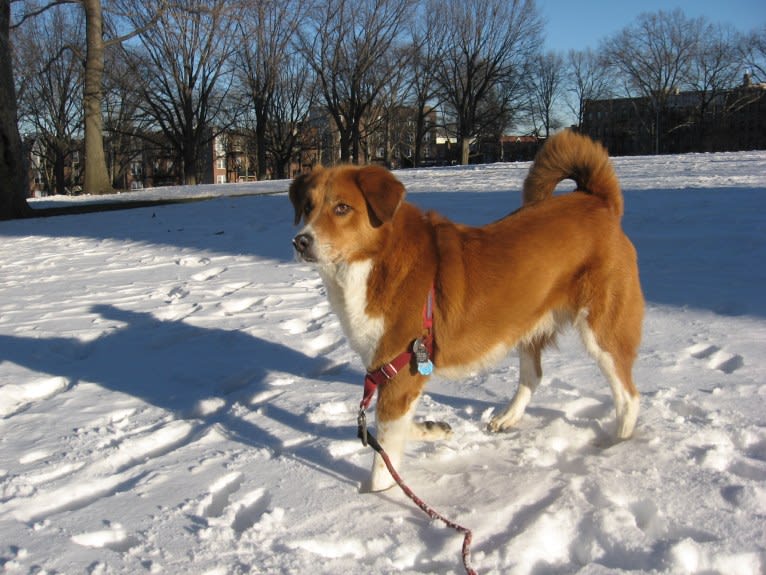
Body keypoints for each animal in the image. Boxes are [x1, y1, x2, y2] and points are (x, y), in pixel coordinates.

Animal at [292, 130, 644, 490]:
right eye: (307, 207)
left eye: (342, 208)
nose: (300, 242)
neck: (376, 261)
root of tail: (597, 199)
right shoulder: (394, 374)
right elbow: (394, 429)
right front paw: (431, 429)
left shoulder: (399, 373)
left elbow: (383, 460)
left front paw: (375, 496)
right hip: (528, 322)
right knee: (533, 376)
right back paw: (508, 417)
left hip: (602, 330)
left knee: (628, 395)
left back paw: (616, 445)